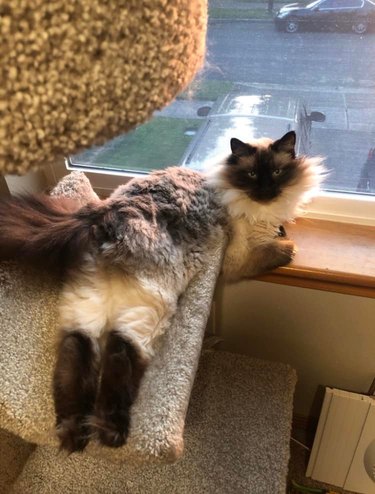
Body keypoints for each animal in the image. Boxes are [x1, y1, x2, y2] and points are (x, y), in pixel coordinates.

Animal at [0, 130, 324, 452]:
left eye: (278, 173)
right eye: (253, 174)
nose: (267, 191)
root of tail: (102, 213)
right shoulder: (238, 258)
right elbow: (271, 252)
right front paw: (288, 248)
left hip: (88, 303)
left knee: (76, 347)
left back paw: (73, 436)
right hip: (152, 305)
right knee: (121, 349)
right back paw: (111, 433)